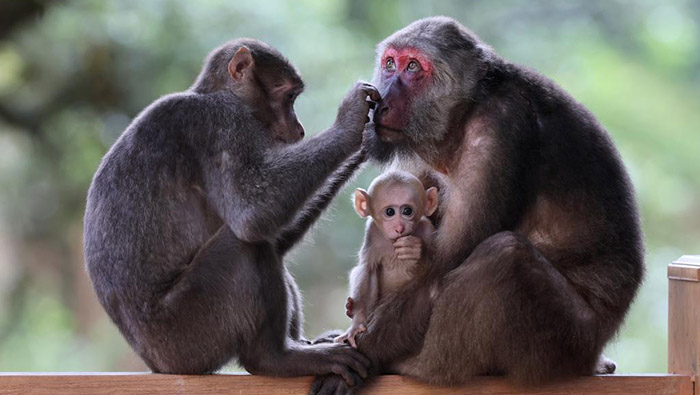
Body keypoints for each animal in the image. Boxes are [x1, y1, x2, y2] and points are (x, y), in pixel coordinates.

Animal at [334, 172, 438, 348]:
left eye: (407, 211)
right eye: (390, 212)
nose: (400, 227)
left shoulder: (428, 229)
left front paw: (417, 250)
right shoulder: (372, 232)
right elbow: (367, 270)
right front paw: (356, 324)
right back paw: (350, 308)